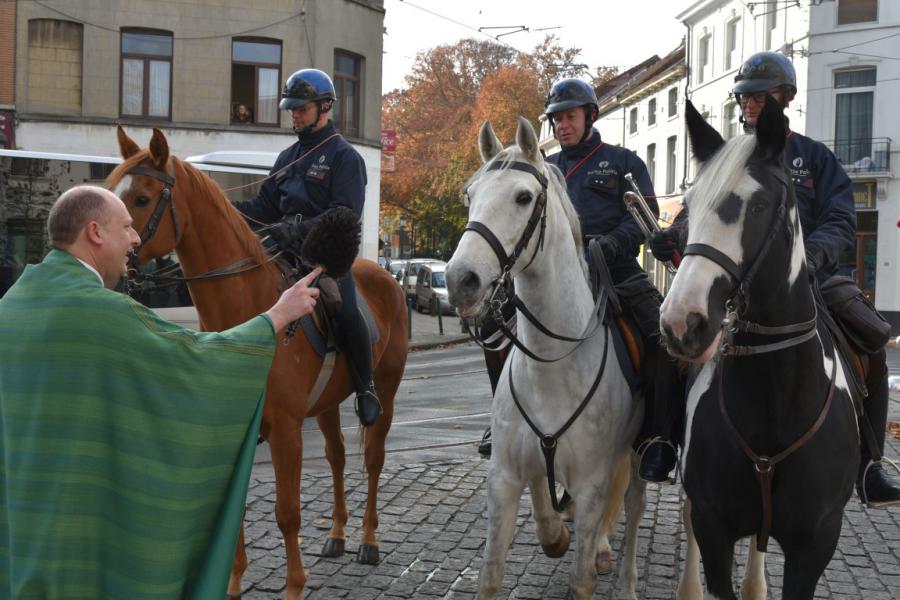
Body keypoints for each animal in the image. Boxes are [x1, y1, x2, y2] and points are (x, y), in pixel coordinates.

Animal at [107, 124, 410, 596]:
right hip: (326, 404)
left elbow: (287, 513)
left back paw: (367, 539)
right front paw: (231, 583)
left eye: (140, 198)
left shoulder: (286, 430)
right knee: (338, 457)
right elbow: (236, 508)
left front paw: (294, 586)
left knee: (374, 457)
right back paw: (338, 534)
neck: (253, 315)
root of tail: (385, 275)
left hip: (386, 389)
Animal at [444, 118, 644, 600]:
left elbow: (582, 576)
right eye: (470, 195)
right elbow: (495, 569)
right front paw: (555, 533)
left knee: (633, 504)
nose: (460, 280)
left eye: (522, 197)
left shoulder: (591, 486)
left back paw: (624, 577)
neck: (553, 364)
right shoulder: (503, 478)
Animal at [660, 99, 856, 600]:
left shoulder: (817, 541)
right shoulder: (713, 525)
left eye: (760, 205)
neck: (775, 397)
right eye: (687, 207)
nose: (681, 322)